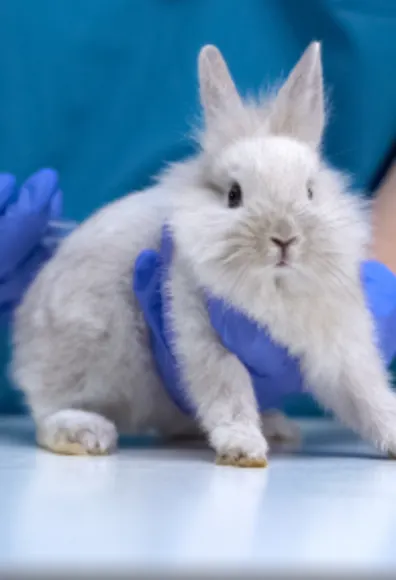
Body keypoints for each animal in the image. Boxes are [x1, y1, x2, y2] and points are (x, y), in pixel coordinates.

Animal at [10, 42, 396, 466]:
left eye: (310, 191)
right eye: (233, 195)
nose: (284, 238)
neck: (275, 289)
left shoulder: (342, 344)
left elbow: (366, 393)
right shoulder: (202, 332)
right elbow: (227, 390)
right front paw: (243, 449)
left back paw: (276, 426)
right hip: (85, 349)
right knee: (47, 411)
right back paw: (85, 432)